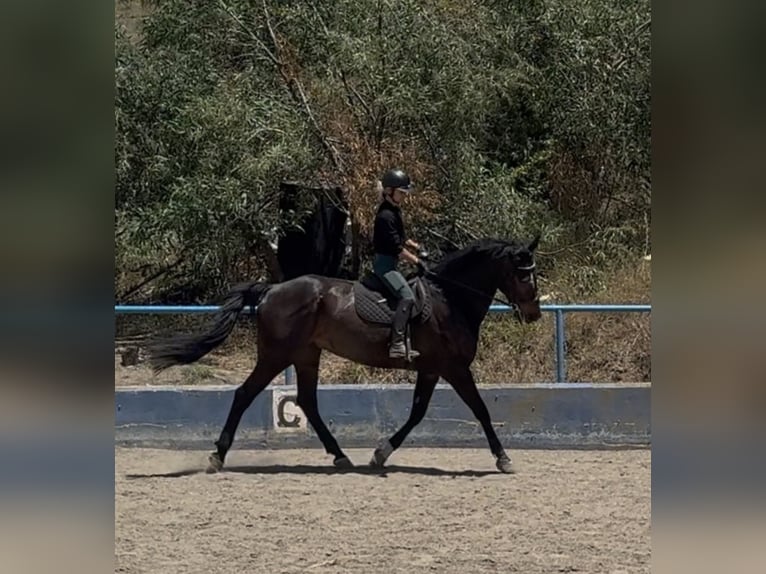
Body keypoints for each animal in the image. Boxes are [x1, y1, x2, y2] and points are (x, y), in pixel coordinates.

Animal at [148, 236, 542, 474]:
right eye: (523, 276)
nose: (534, 315)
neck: (450, 298)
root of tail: (272, 289)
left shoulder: (431, 369)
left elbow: (417, 414)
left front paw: (381, 453)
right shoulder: (454, 367)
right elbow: (481, 410)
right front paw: (504, 458)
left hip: (305, 356)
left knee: (307, 402)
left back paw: (340, 455)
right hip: (276, 355)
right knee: (245, 394)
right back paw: (217, 456)